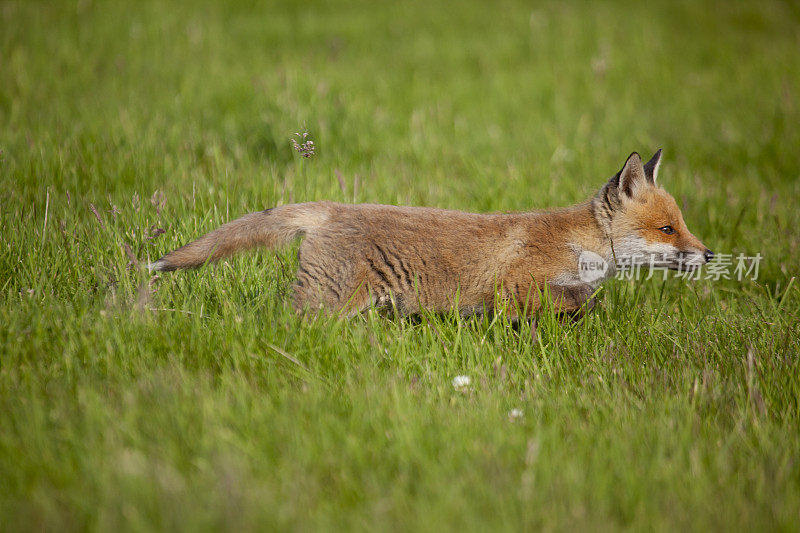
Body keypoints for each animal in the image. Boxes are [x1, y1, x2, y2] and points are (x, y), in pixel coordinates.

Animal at [152, 148, 712, 318]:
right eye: (667, 228)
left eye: (682, 224)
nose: (708, 255)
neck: (583, 245)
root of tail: (333, 208)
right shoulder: (515, 286)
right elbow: (560, 307)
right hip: (323, 305)